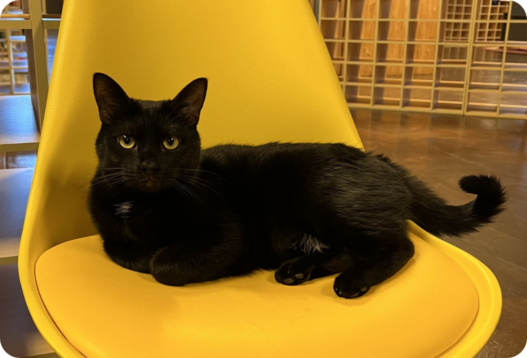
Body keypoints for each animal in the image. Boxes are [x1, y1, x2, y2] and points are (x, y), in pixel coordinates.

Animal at [87, 71, 508, 298]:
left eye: (170, 142)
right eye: (127, 141)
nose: (148, 166)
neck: (140, 204)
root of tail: (381, 160)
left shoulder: (228, 232)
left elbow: (162, 264)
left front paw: (162, 255)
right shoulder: (110, 234)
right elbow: (121, 249)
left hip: (315, 191)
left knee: (399, 246)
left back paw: (351, 281)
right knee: (349, 249)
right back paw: (296, 269)